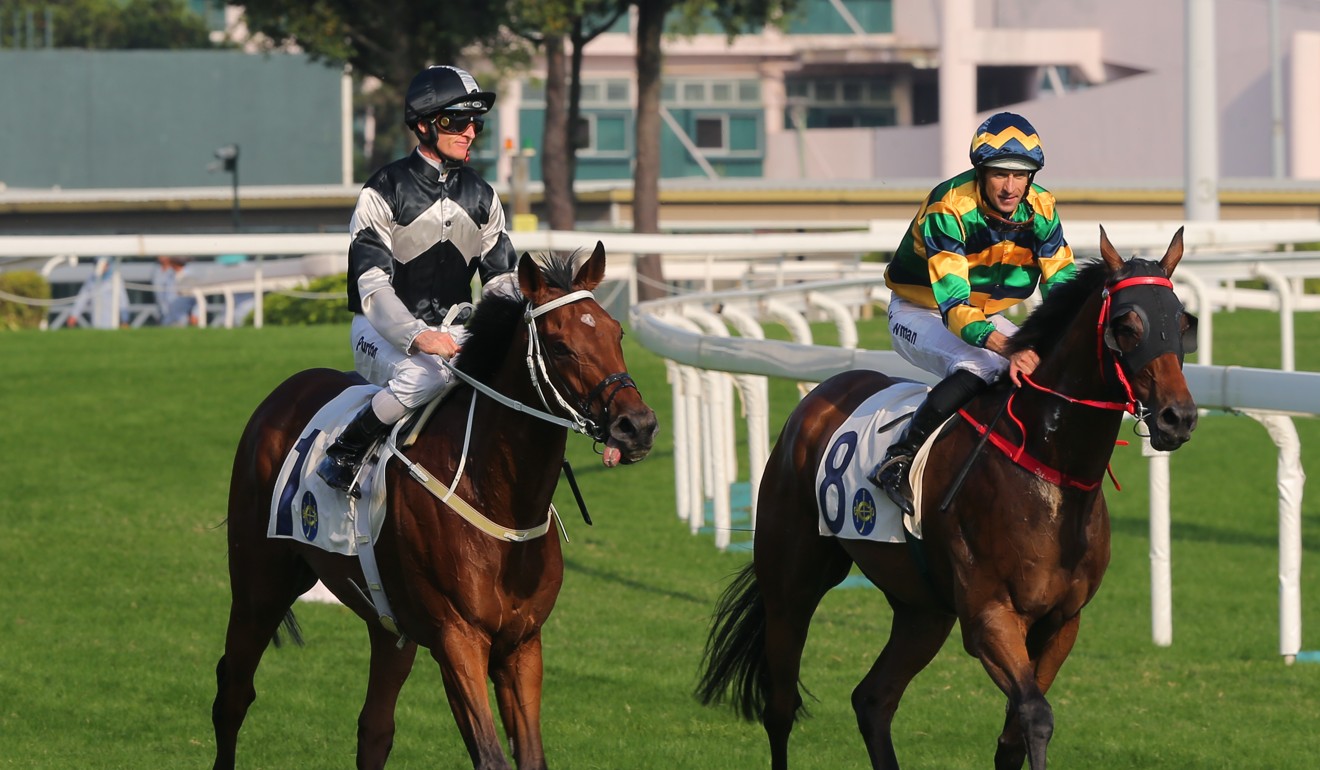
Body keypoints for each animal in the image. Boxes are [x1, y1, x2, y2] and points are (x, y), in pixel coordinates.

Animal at [211, 243, 660, 770]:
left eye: (617, 332)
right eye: (560, 345)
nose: (637, 425)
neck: (500, 499)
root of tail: (283, 395)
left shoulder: (522, 643)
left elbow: (530, 756)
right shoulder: (458, 638)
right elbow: (491, 756)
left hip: (387, 622)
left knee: (374, 729)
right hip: (259, 584)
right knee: (233, 694)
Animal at [696, 228, 1203, 770]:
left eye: (1183, 322)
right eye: (1127, 324)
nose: (1177, 417)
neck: (1047, 470)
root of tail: (816, 400)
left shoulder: (1062, 622)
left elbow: (1014, 736)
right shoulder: (988, 616)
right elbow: (1036, 715)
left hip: (922, 608)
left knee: (872, 699)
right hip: (791, 585)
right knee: (780, 706)